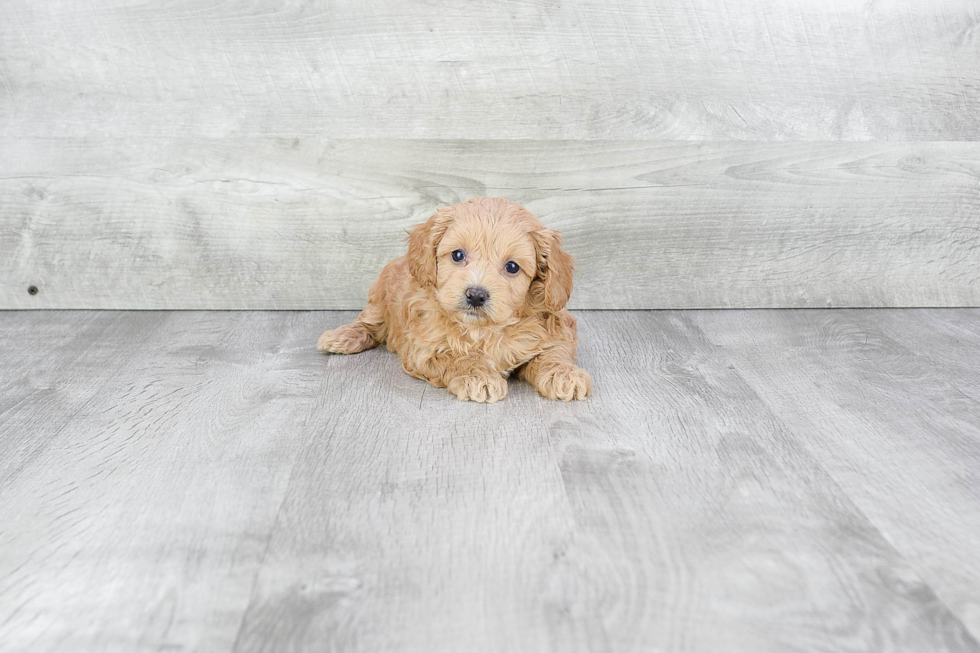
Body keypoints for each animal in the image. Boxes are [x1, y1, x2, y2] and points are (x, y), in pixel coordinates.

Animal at [318, 196, 588, 400]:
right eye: (458, 255)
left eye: (512, 267)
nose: (476, 295)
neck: (484, 330)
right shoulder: (425, 348)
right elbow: (459, 357)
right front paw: (478, 376)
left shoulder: (555, 329)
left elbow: (554, 352)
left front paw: (564, 374)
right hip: (380, 297)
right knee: (370, 323)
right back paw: (341, 337)